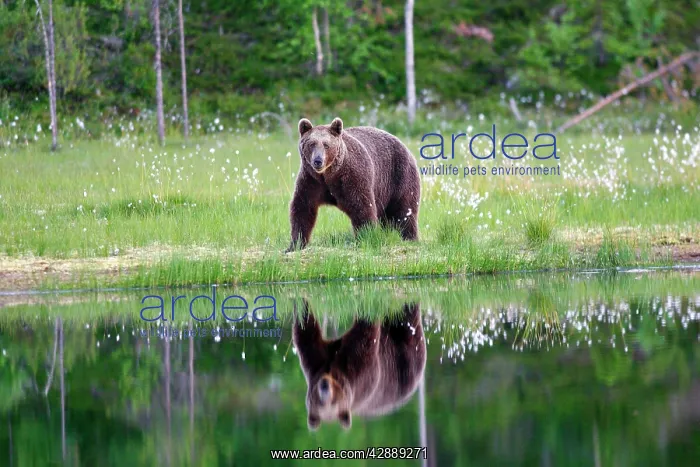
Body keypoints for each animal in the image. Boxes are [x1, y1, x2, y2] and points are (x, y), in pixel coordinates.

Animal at [286, 117, 421, 251]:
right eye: (311, 144)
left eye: (326, 145)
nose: (318, 160)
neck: (329, 175)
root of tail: (404, 146)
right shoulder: (311, 181)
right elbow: (303, 208)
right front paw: (295, 244)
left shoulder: (353, 178)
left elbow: (362, 207)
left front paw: (366, 238)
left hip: (399, 177)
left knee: (404, 211)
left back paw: (409, 238)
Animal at [292, 299, 426, 430]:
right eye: (319, 401)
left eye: (333, 400)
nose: (324, 385)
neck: (333, 368)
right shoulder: (349, 370)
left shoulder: (323, 360)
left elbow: (306, 331)